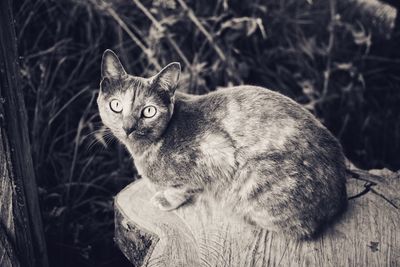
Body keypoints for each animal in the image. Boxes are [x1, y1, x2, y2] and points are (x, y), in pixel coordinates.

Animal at [97, 49, 346, 240]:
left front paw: (165, 199)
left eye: (149, 111)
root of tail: (339, 197)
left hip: (255, 180)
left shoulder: (216, 154)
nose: (128, 127)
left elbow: (184, 187)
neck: (146, 149)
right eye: (116, 106)